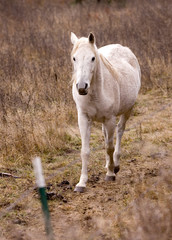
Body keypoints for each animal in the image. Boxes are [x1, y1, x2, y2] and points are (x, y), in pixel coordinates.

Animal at [70, 32, 140, 192]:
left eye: (92, 58)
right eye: (74, 58)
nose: (82, 87)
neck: (95, 93)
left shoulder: (110, 119)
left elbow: (109, 147)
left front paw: (110, 174)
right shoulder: (83, 118)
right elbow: (85, 151)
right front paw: (81, 183)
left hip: (127, 110)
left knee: (119, 132)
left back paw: (115, 165)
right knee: (106, 135)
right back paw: (109, 164)